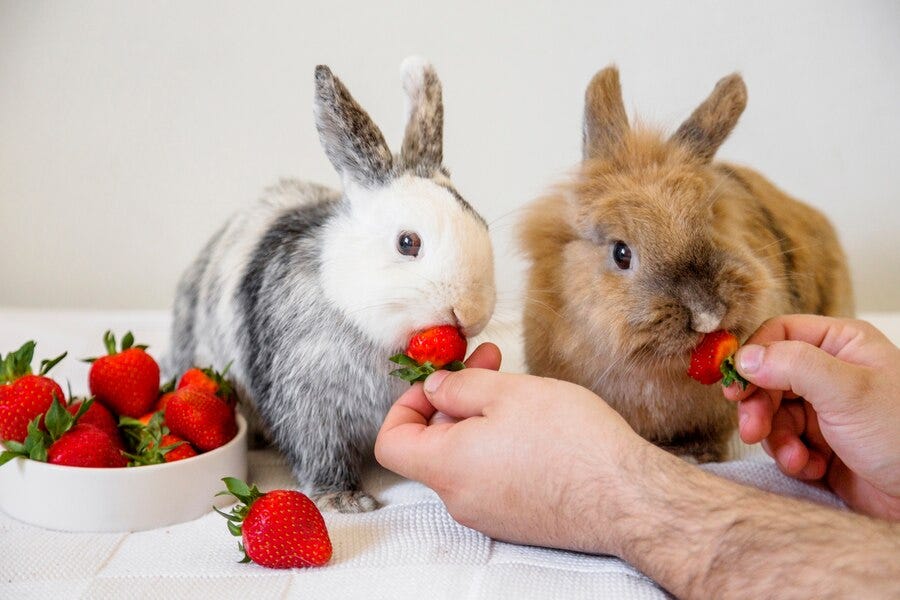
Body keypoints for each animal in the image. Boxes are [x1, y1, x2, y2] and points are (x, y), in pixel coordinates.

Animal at [165, 58, 496, 512]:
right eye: (407, 243)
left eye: (482, 223)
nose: (469, 312)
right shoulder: (308, 405)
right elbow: (319, 450)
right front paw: (343, 500)